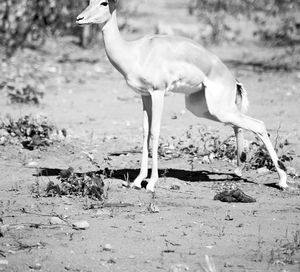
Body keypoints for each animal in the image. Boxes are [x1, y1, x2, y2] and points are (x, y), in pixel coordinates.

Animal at [77, 0, 288, 192]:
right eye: (89, 1)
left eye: (104, 2)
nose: (79, 18)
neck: (135, 52)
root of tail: (233, 80)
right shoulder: (144, 96)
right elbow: (145, 133)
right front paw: (137, 181)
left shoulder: (158, 93)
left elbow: (155, 133)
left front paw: (151, 183)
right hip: (204, 109)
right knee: (243, 126)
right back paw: (239, 170)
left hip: (219, 110)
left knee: (259, 125)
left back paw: (282, 180)